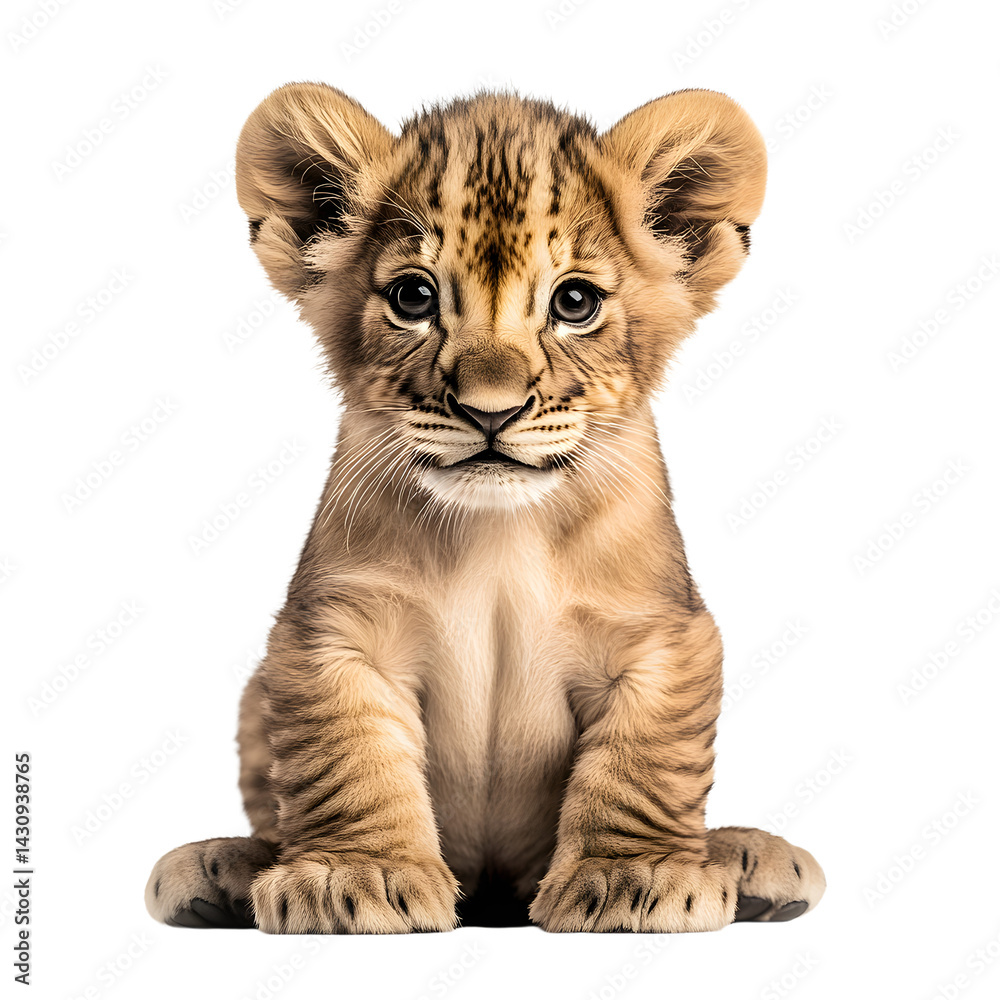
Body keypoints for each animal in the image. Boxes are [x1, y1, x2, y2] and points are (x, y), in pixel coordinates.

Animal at [145, 83, 825, 933]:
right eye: (413, 297)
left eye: (575, 302)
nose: (490, 411)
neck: (499, 532)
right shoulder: (332, 634)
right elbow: (347, 760)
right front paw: (352, 874)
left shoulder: (661, 636)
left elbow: (644, 764)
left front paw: (629, 874)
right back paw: (221, 868)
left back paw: (748, 860)